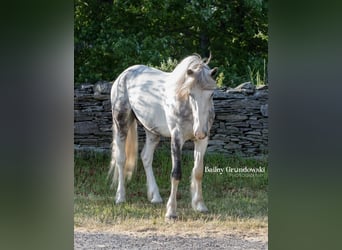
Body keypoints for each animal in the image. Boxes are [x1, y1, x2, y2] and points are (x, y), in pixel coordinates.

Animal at [108, 53, 218, 218]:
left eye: (211, 94)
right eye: (191, 94)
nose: (199, 131)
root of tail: (124, 74)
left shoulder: (202, 141)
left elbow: (198, 171)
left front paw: (200, 205)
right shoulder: (177, 139)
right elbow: (176, 173)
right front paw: (171, 211)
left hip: (152, 131)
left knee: (146, 157)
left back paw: (155, 196)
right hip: (122, 123)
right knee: (121, 160)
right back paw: (120, 197)